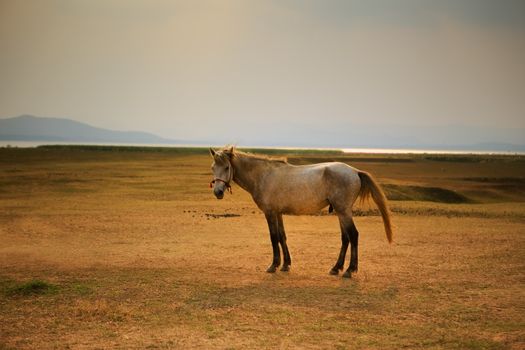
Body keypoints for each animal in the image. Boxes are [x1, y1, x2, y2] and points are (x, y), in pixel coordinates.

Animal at [207, 146, 390, 278]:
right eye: (213, 167)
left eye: (227, 167)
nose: (218, 192)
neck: (263, 175)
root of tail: (354, 171)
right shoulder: (278, 213)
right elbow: (282, 236)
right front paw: (285, 265)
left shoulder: (270, 213)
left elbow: (273, 237)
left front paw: (274, 265)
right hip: (341, 212)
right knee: (345, 238)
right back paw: (336, 268)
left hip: (344, 211)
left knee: (353, 235)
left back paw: (350, 270)